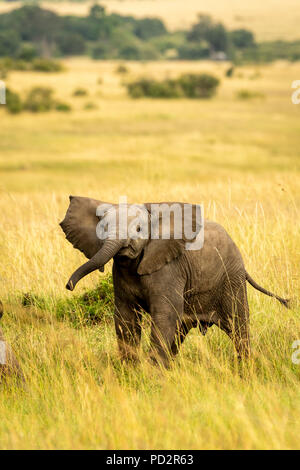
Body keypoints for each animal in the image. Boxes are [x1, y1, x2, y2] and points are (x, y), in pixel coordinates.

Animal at [60, 196, 288, 370]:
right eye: (103, 228)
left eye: (139, 229)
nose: (69, 286)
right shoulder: (121, 272)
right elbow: (126, 317)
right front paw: (130, 372)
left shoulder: (170, 268)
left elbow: (165, 313)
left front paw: (151, 375)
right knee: (180, 331)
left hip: (232, 278)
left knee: (238, 326)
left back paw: (245, 370)